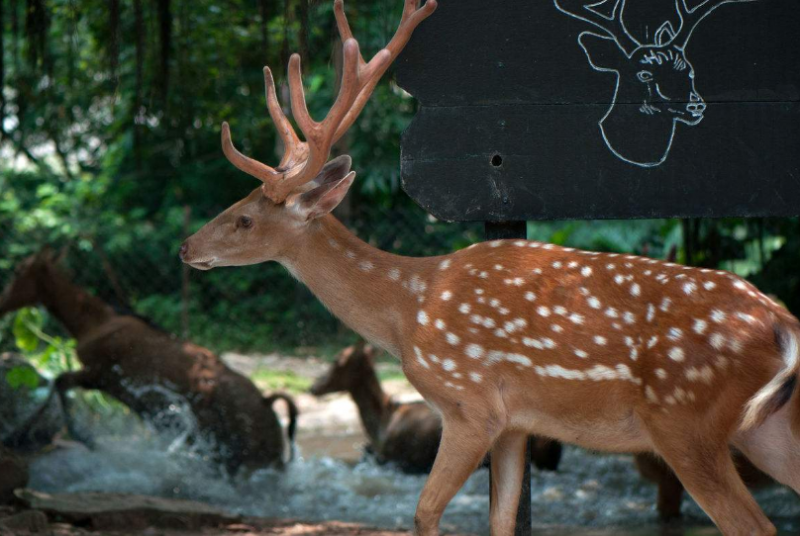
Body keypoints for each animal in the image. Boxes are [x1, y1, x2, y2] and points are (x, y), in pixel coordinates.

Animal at [0, 249, 298, 476]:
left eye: (18, 272)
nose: (1, 302)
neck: (95, 322)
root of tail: (266, 402)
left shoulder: (100, 375)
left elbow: (59, 384)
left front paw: (78, 438)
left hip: (242, 458)